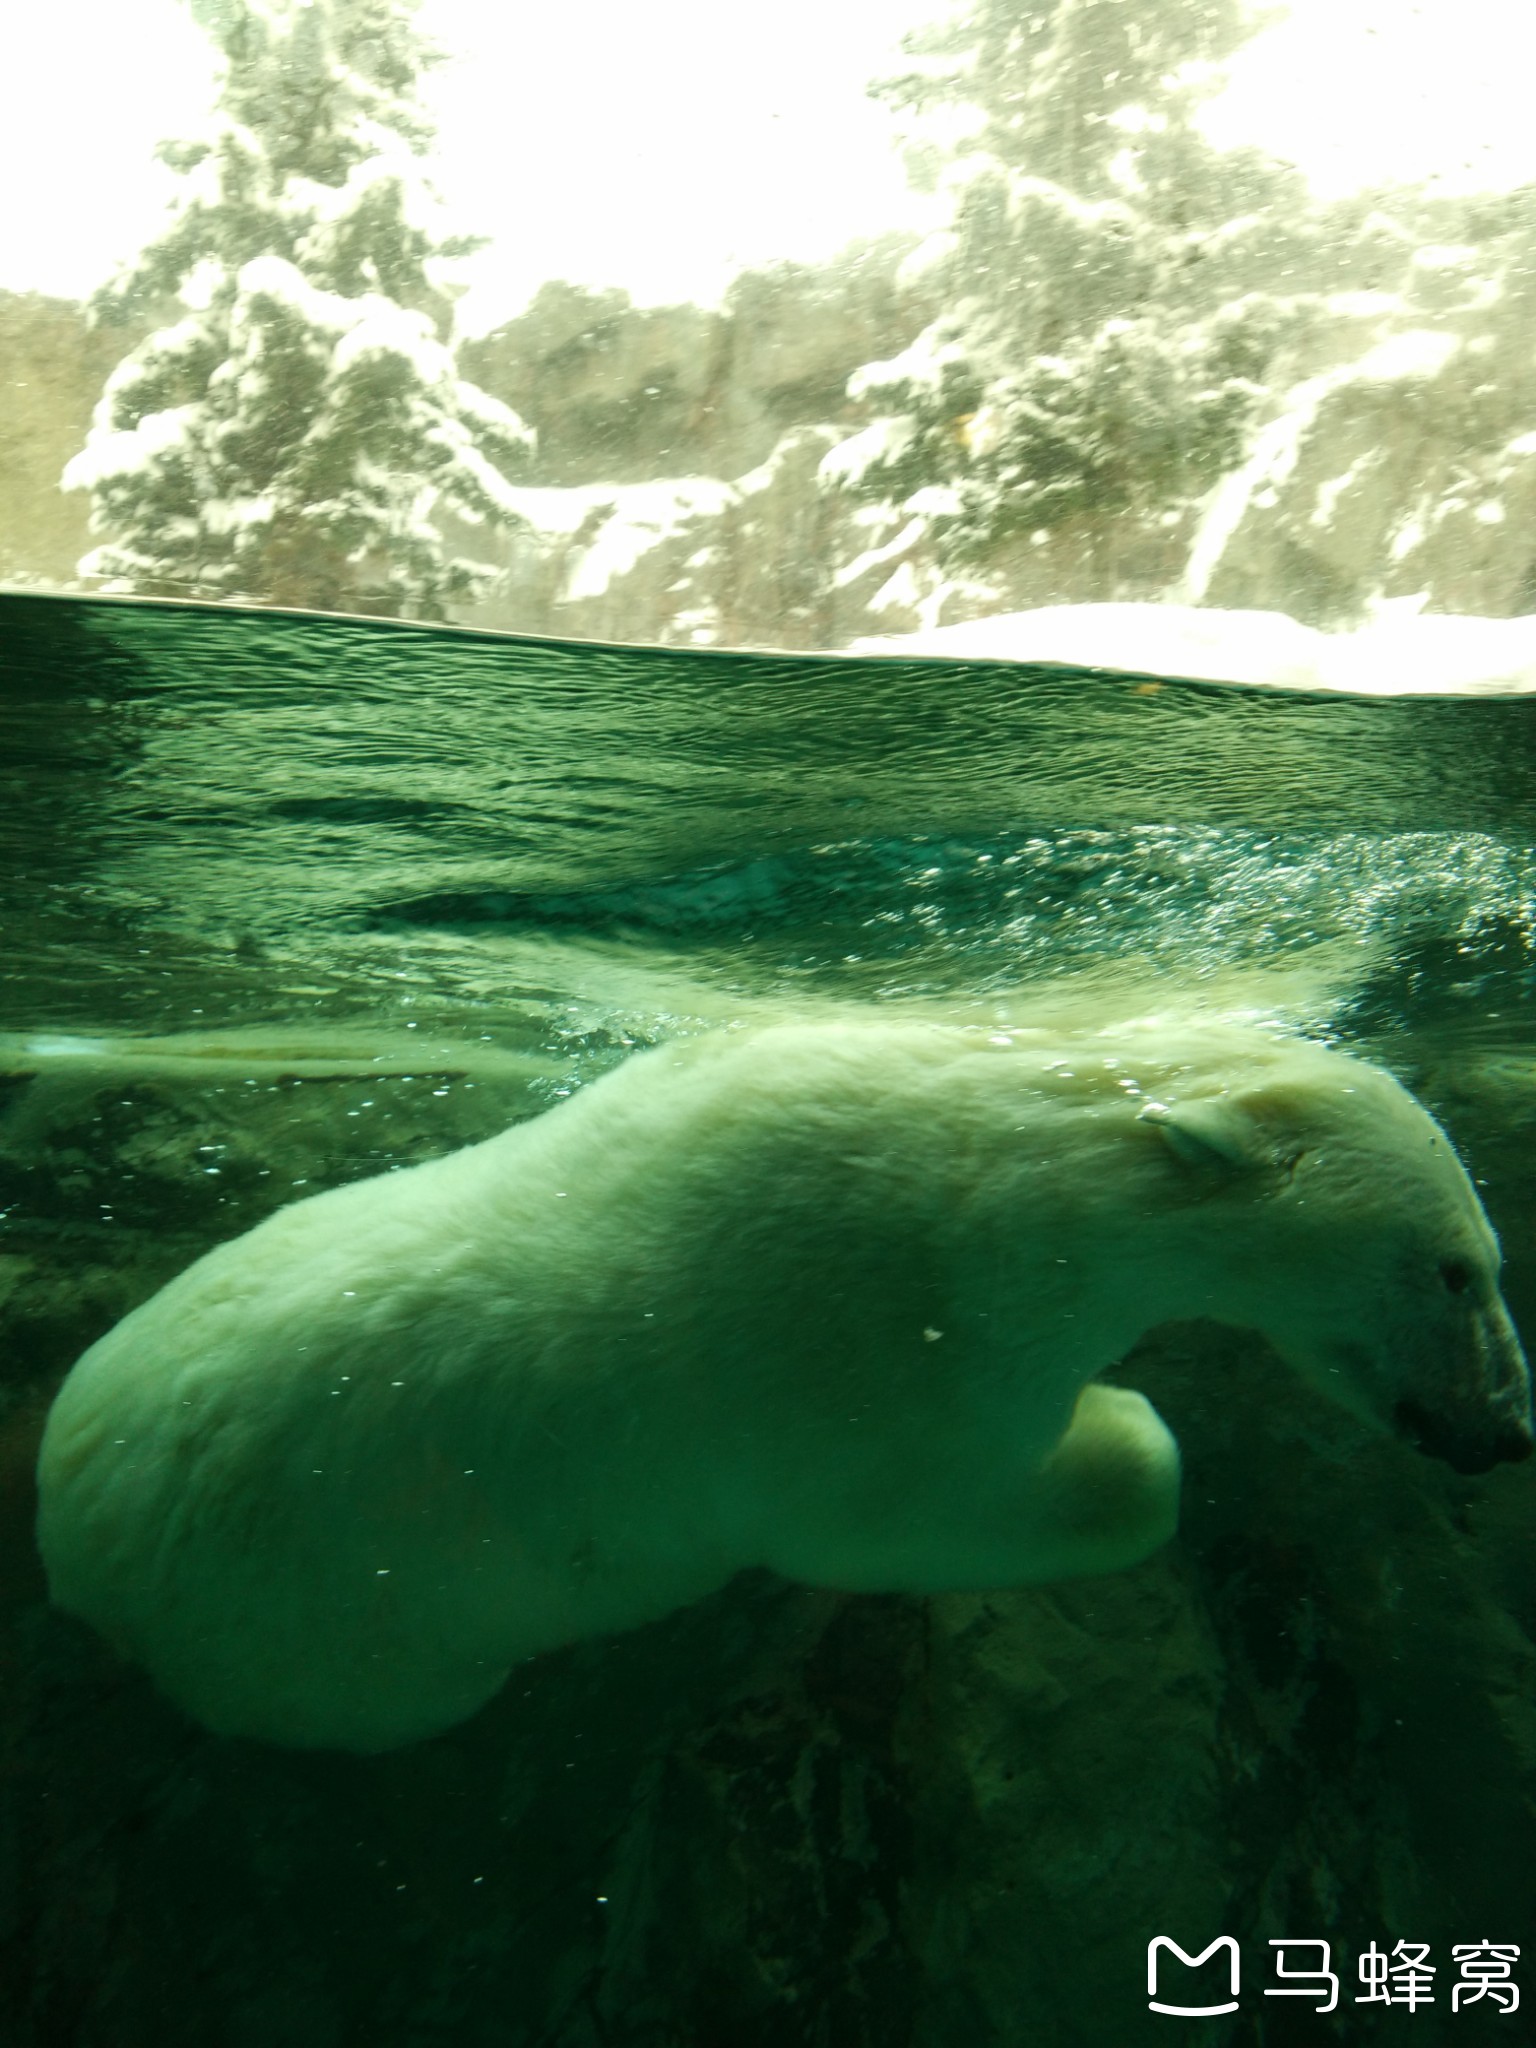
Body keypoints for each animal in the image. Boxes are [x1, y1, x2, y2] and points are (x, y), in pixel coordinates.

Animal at [30, 1019, 1531, 1744]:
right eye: (1461, 1269)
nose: (1503, 1431)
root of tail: (72, 1538)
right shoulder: (884, 1369)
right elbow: (930, 1514)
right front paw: (1127, 1424)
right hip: (329, 1636)